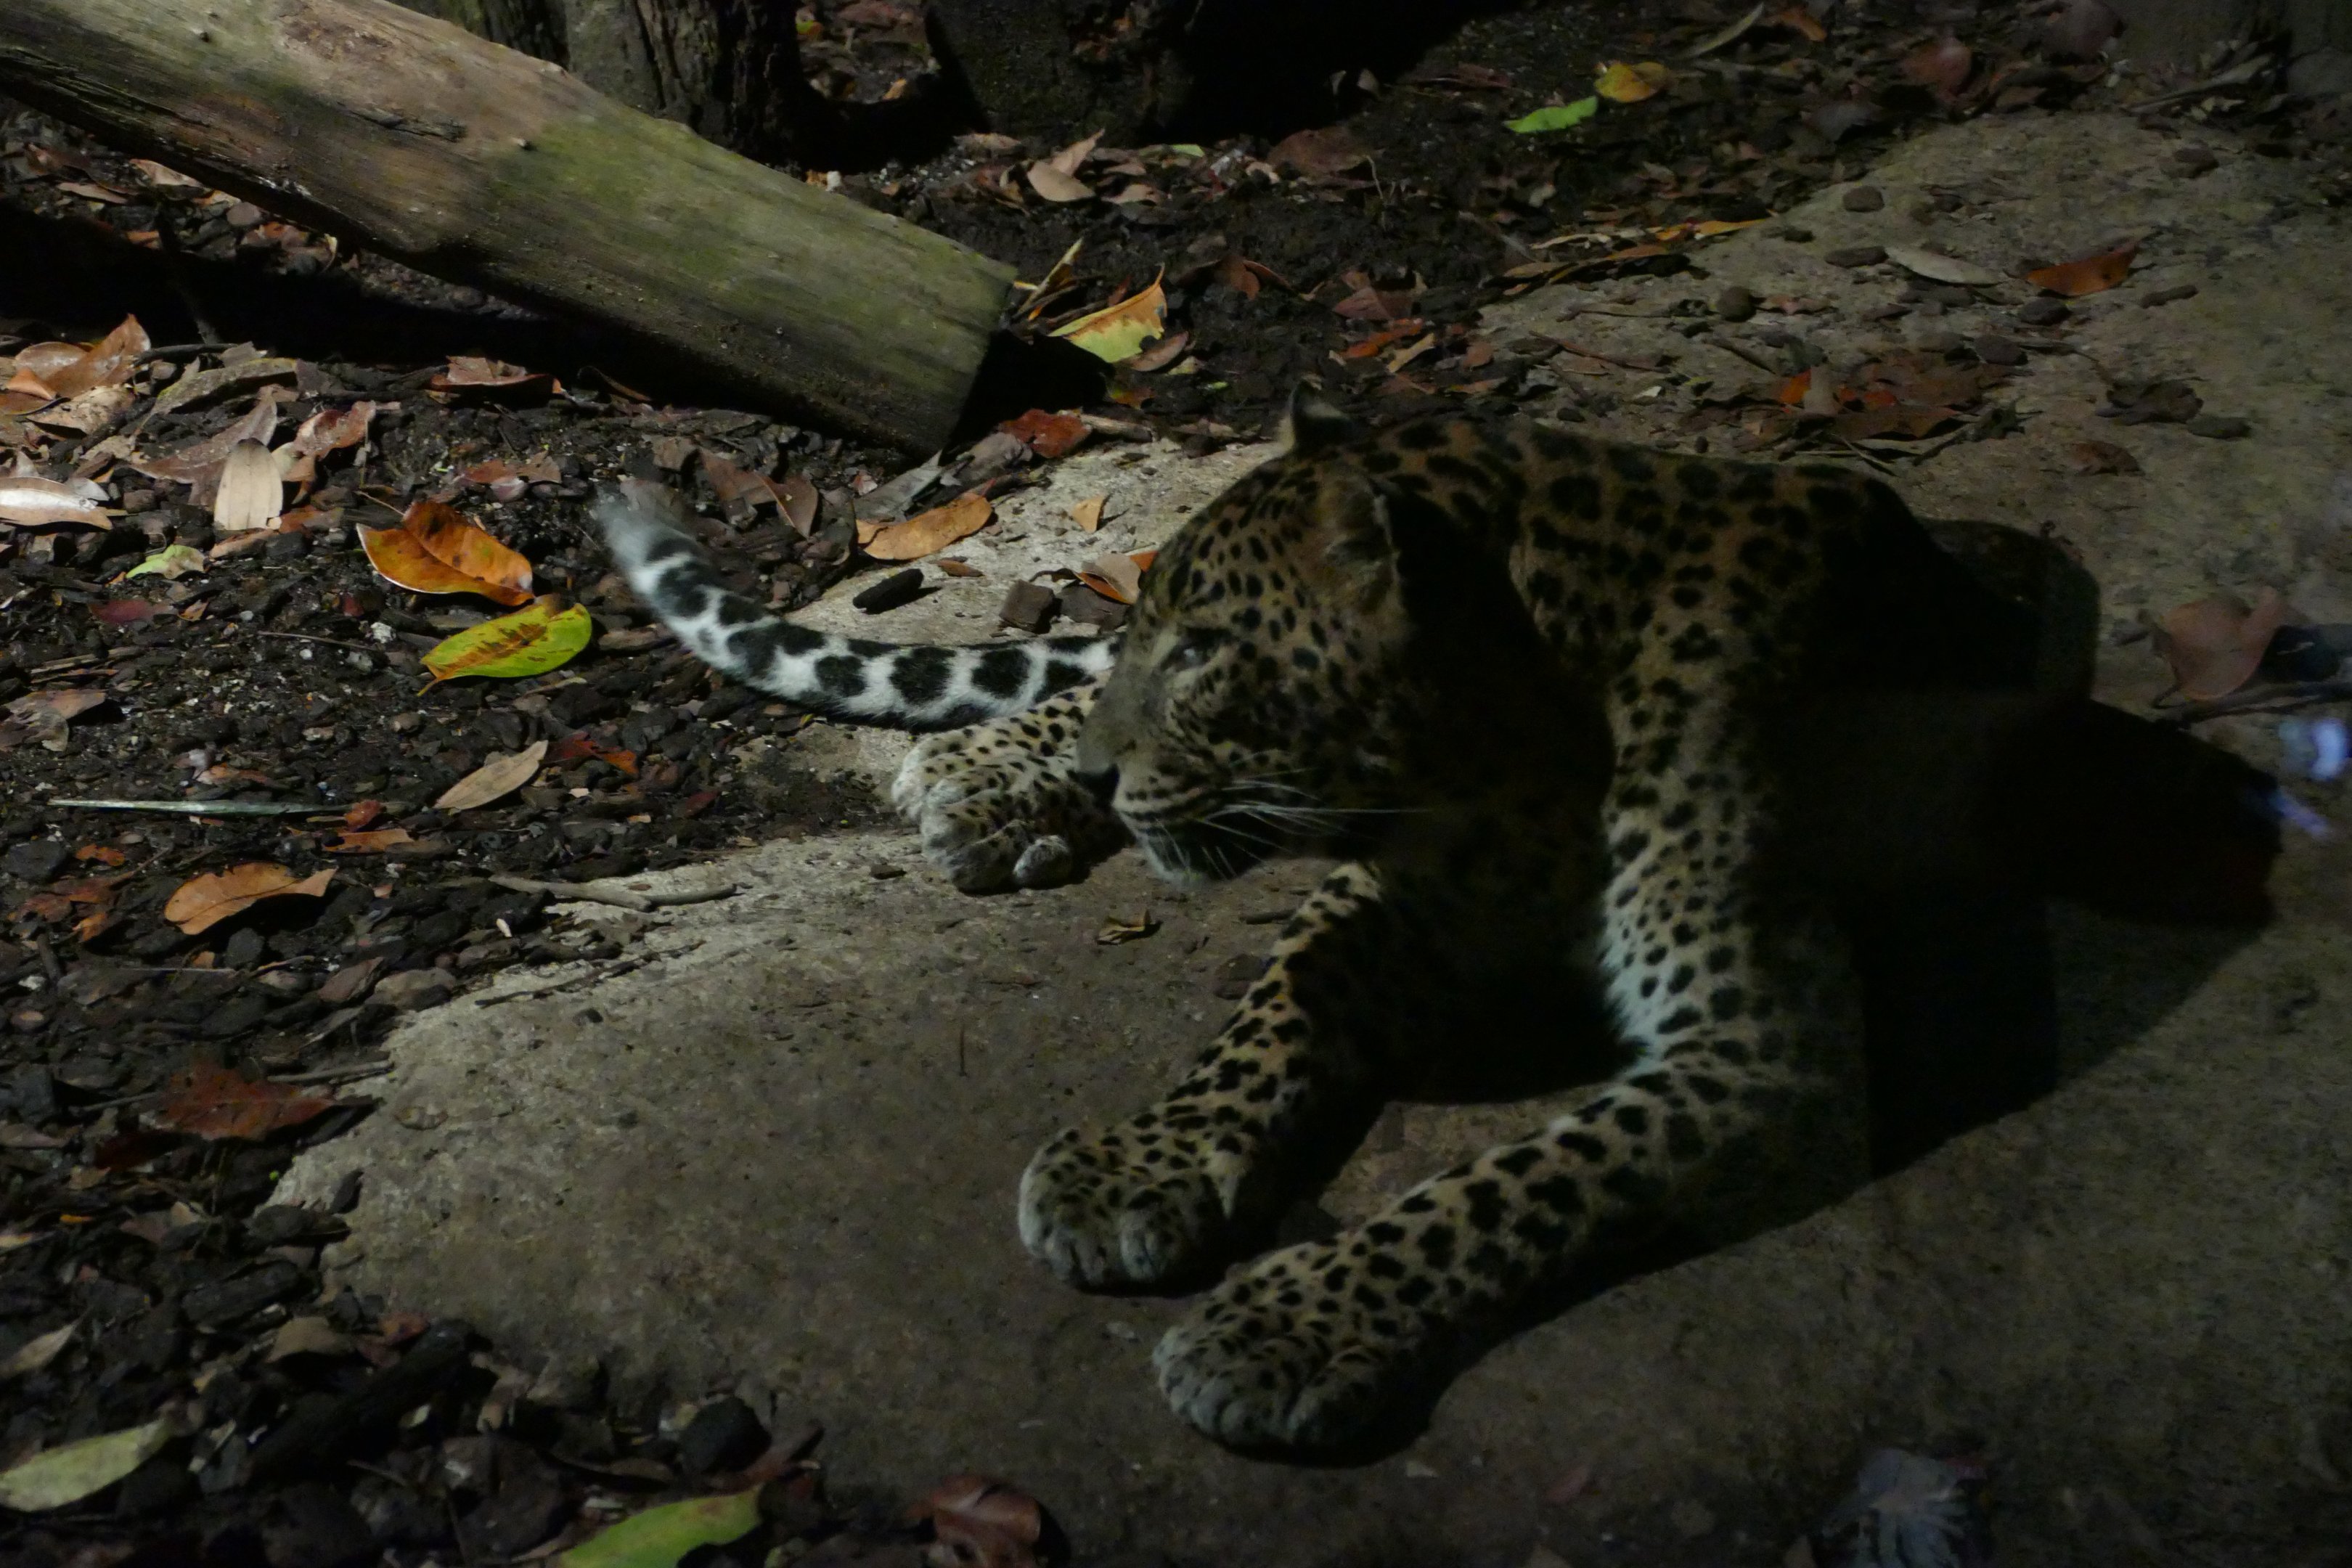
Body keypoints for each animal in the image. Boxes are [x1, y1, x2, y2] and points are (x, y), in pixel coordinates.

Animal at [601, 391, 2115, 1451]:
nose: (1103, 772)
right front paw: (1149, 1163)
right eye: (1165, 638)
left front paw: (1280, 1330)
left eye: (1207, 654)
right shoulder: (1401, 897)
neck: (1534, 740)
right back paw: (997, 773)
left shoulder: (1765, 1046)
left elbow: (1514, 1183)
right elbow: (1279, 1007)